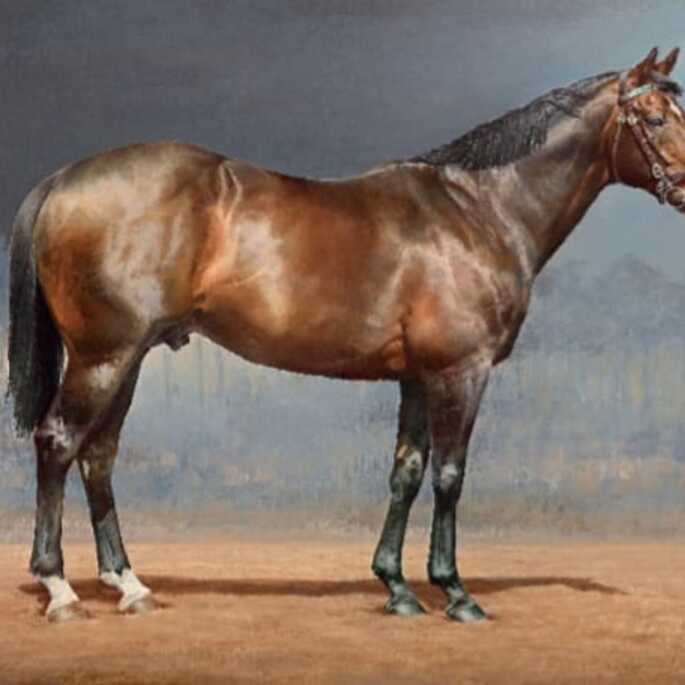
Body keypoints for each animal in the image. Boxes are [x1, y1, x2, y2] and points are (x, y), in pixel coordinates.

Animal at [6, 47, 685, 623]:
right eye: (654, 117)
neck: (480, 210)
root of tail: (63, 179)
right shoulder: (461, 371)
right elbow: (450, 475)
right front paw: (456, 593)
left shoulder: (417, 376)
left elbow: (406, 471)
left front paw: (397, 587)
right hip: (103, 356)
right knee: (58, 442)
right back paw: (60, 589)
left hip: (127, 359)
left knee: (98, 455)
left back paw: (129, 585)